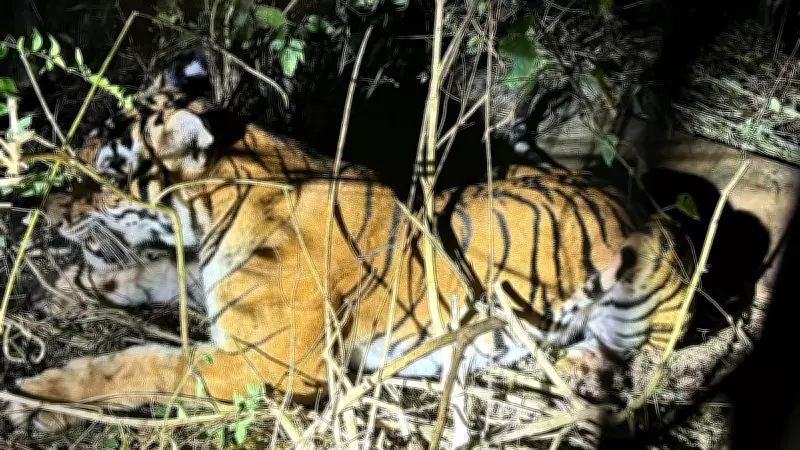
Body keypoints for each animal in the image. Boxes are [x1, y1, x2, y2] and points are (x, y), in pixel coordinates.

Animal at [4, 52, 692, 439]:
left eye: (106, 172)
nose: (47, 211)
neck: (214, 220)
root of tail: (633, 197)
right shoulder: (210, 282)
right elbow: (161, 274)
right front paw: (79, 285)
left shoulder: (267, 362)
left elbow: (142, 365)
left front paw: (37, 400)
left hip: (645, 298)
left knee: (651, 349)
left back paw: (583, 367)